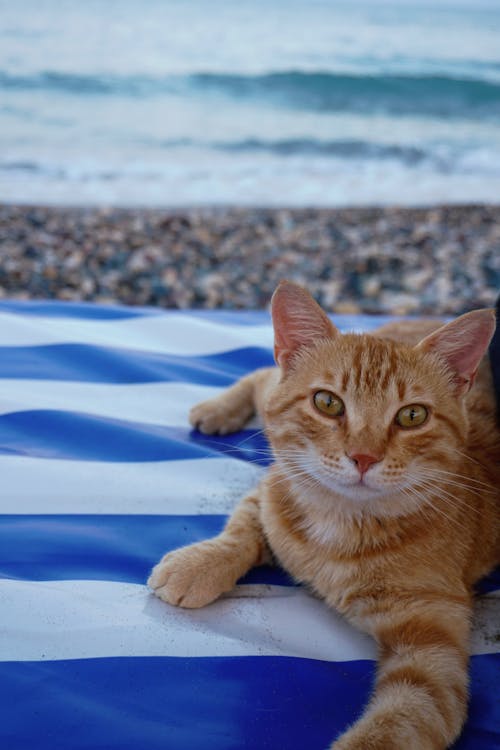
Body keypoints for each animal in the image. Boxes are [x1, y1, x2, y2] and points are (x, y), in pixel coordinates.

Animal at [148, 282, 500, 750]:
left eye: (413, 415)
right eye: (327, 403)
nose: (364, 456)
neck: (342, 520)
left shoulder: (433, 642)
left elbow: (406, 718)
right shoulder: (274, 488)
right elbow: (242, 529)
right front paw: (199, 564)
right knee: (264, 376)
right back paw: (218, 409)